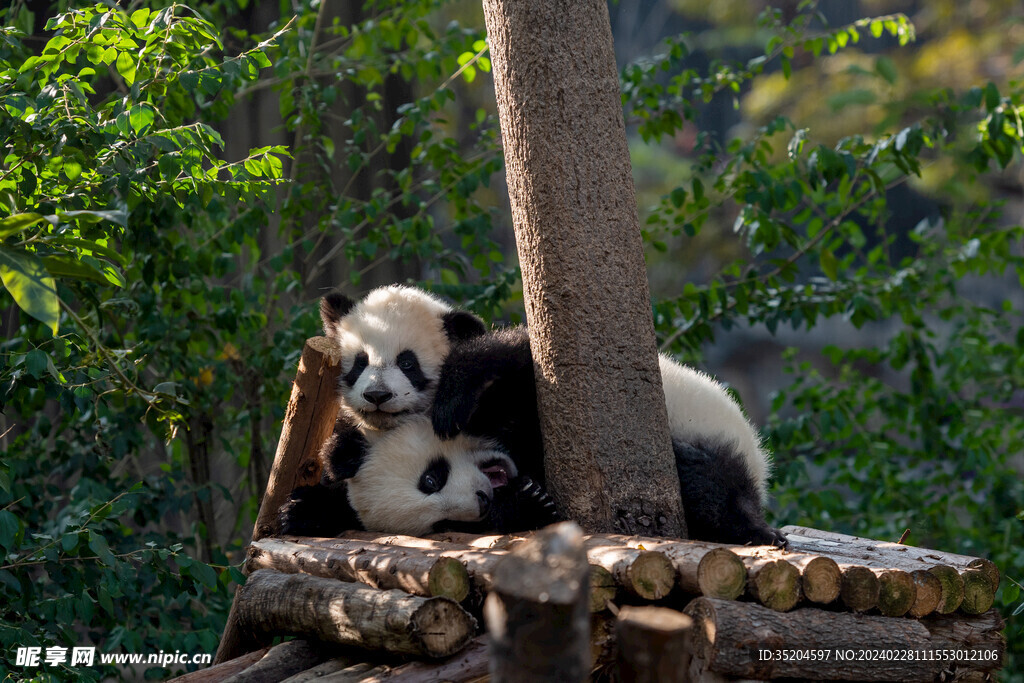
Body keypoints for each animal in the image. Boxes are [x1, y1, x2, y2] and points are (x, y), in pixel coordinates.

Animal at [278, 286, 782, 548]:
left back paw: (756, 531)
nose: (377, 395)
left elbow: (515, 355)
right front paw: (302, 510)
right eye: (359, 362)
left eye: (407, 363)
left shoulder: (521, 392)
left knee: (709, 485)